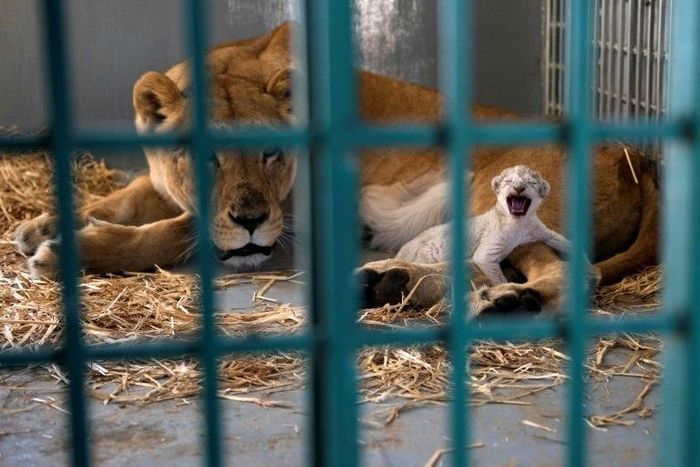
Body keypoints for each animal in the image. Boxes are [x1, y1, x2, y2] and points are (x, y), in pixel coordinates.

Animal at [14, 22, 658, 317]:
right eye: (205, 158)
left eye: (272, 154)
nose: (251, 220)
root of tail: (632, 154)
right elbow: (125, 200)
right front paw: (42, 224)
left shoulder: (295, 216)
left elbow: (173, 232)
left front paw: (69, 251)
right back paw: (391, 283)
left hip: (501, 203)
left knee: (566, 274)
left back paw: (503, 303)